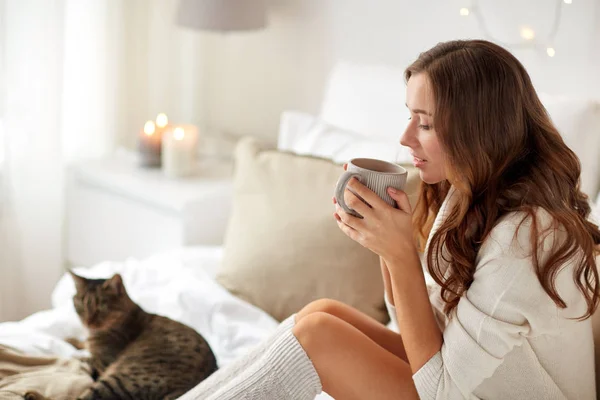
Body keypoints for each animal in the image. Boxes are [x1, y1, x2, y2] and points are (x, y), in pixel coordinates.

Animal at [26, 272, 218, 400]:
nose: (88, 321)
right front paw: (72, 340)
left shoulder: (101, 362)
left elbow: (79, 357)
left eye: (101, 308)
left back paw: (32, 395)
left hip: (119, 380)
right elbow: (81, 344)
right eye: (80, 305)